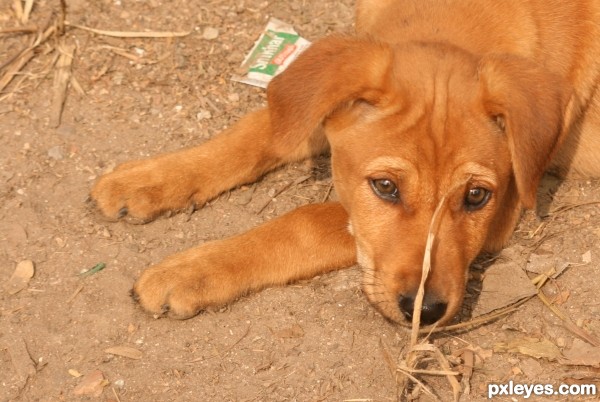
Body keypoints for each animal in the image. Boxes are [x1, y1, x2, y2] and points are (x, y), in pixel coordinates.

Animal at [90, 0, 600, 326]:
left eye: (476, 196)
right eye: (386, 187)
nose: (425, 312)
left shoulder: (509, 205)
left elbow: (307, 221)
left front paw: (191, 270)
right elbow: (261, 129)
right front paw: (149, 177)